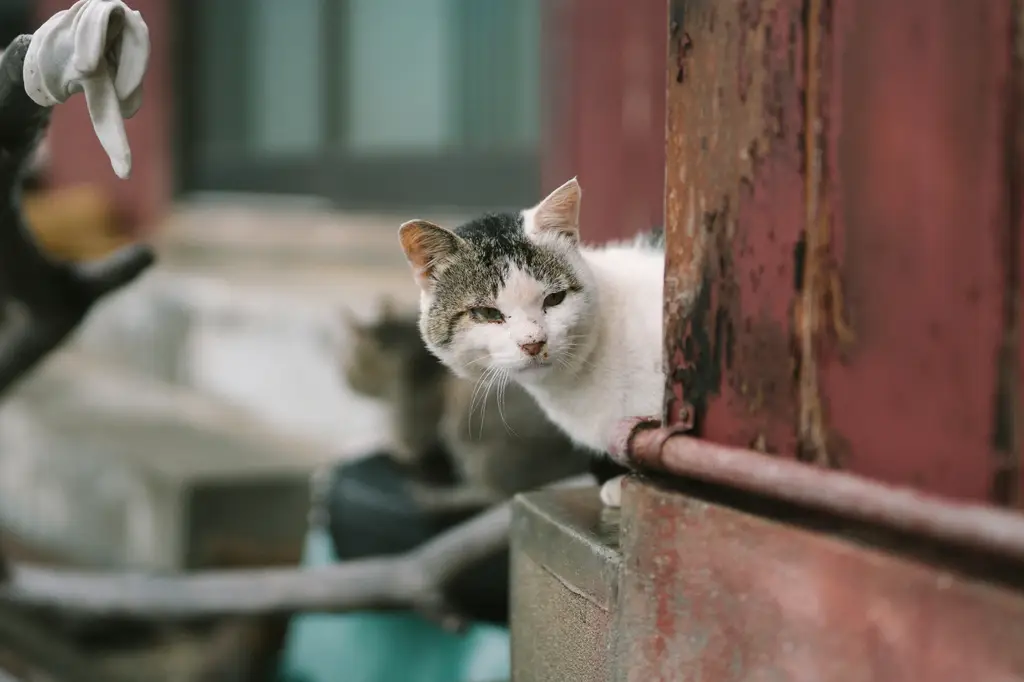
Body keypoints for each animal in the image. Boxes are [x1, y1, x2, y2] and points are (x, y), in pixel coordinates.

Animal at [337, 301, 589, 512]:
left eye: (351, 363)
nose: (348, 381)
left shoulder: (411, 408)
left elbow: (409, 441)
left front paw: (400, 451)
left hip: (480, 446)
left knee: (492, 496)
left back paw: (439, 497)